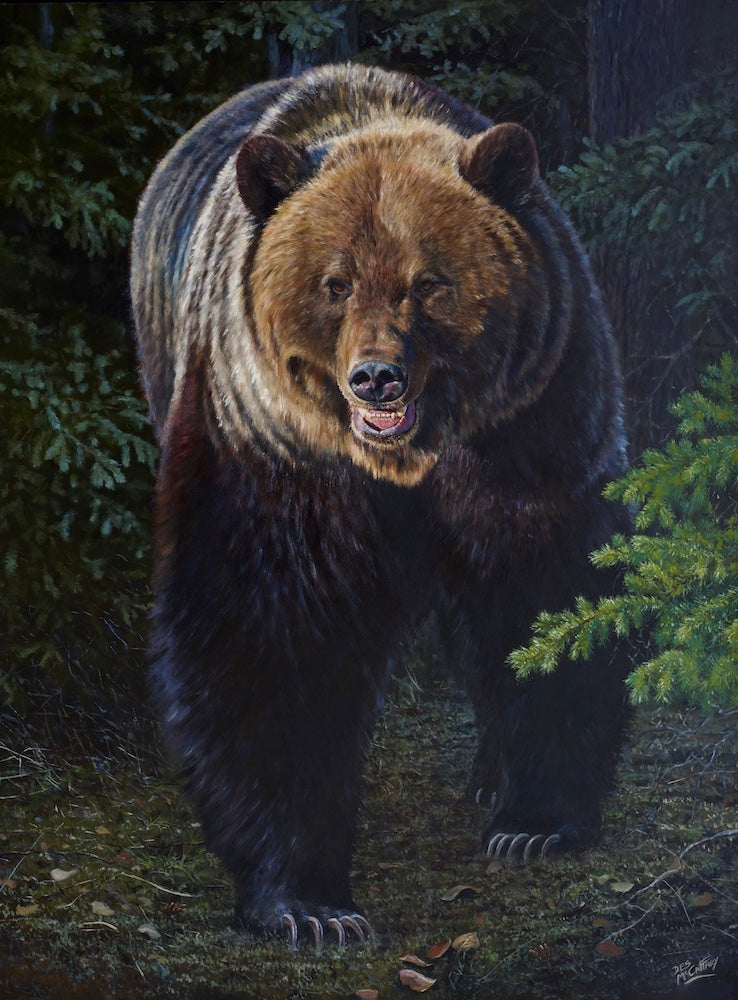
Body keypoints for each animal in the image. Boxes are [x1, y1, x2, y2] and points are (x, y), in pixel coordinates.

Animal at [130, 63, 631, 944]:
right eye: (335, 283)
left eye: (428, 283)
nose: (376, 378)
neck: (409, 463)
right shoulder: (278, 449)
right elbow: (273, 631)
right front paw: (309, 901)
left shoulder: (528, 425)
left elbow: (546, 592)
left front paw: (537, 820)